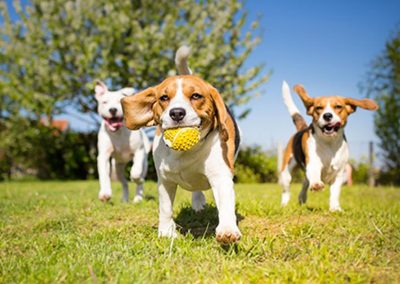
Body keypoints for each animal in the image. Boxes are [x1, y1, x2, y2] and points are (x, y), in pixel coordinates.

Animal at [120, 47, 242, 244]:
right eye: (164, 97)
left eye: (196, 96)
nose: (177, 113)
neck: (185, 153)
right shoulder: (165, 181)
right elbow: (165, 208)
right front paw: (166, 232)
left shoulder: (221, 176)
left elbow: (225, 204)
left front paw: (227, 229)